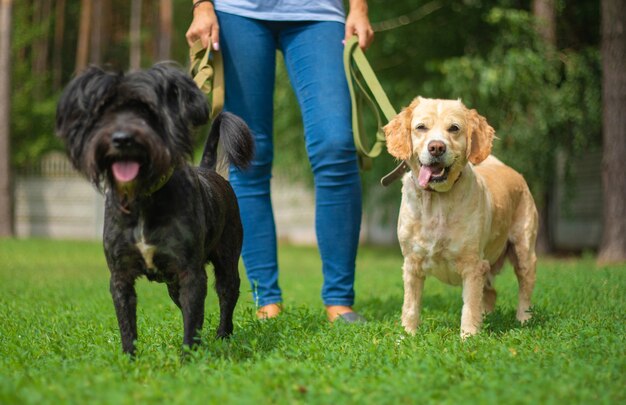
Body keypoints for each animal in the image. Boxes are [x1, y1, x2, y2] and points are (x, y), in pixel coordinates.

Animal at [55, 64, 254, 354]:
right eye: (103, 111)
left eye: (147, 111)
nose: (122, 139)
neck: (141, 198)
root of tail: (208, 170)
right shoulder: (120, 276)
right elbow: (128, 326)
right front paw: (129, 360)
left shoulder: (191, 274)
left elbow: (192, 322)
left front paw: (188, 358)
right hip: (173, 284)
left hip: (226, 260)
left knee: (227, 296)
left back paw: (222, 336)